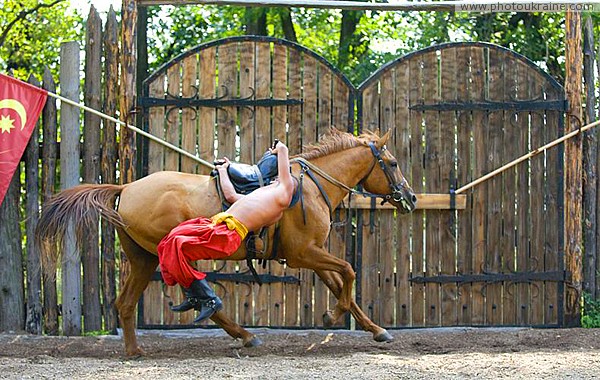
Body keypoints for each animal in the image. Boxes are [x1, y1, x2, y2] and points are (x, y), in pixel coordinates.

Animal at [35, 128, 414, 356]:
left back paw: (136, 351)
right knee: (194, 291)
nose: (409, 197)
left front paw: (373, 329)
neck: (309, 186)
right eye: (393, 163)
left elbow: (342, 286)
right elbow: (348, 272)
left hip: (143, 258)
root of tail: (125, 187)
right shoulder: (304, 253)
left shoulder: (313, 254)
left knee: (126, 304)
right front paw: (333, 317)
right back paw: (242, 333)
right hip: (166, 252)